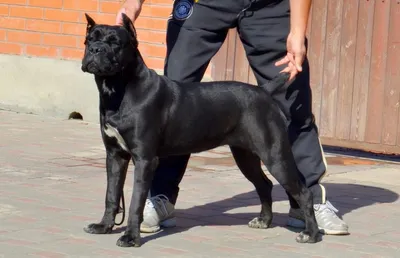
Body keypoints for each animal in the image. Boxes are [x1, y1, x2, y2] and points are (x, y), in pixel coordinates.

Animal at [80, 13, 318, 247]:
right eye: (90, 39)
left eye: (115, 43)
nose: (95, 50)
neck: (120, 89)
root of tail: (264, 91)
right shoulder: (115, 155)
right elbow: (111, 194)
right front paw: (104, 226)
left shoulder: (145, 159)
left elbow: (135, 201)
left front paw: (131, 237)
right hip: (245, 155)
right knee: (264, 184)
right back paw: (264, 221)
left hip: (275, 155)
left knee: (304, 192)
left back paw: (311, 234)